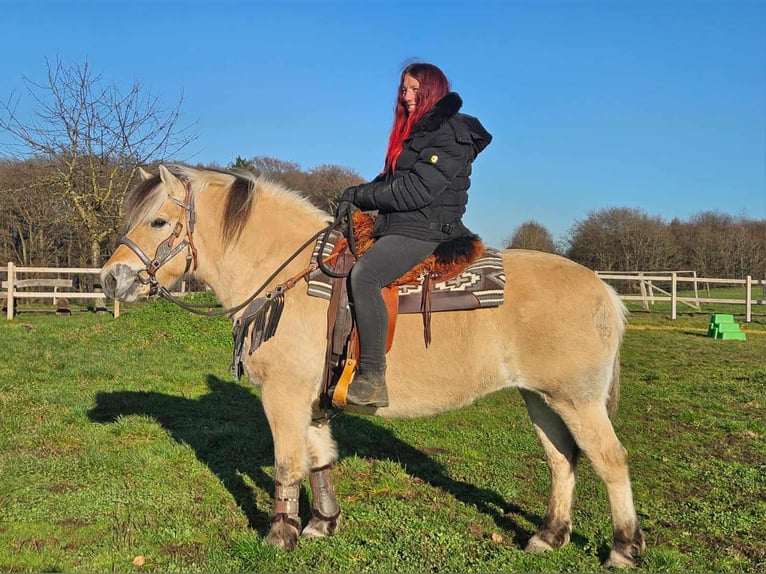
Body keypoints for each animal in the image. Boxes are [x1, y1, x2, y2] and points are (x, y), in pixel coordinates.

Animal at [100, 164, 645, 568]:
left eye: (157, 222)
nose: (110, 279)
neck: (288, 278)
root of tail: (604, 290)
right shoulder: (311, 398)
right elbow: (319, 458)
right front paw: (321, 523)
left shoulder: (283, 395)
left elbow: (287, 463)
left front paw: (280, 535)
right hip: (542, 398)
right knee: (561, 460)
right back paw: (548, 536)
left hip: (578, 400)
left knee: (610, 461)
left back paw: (623, 548)